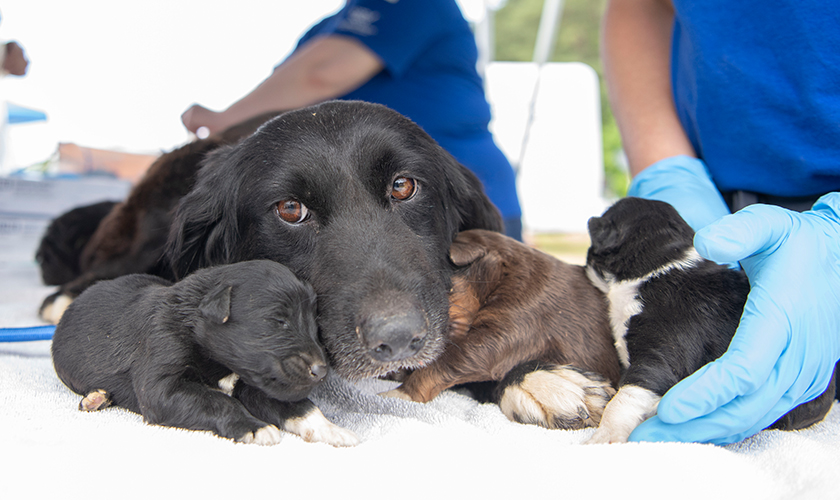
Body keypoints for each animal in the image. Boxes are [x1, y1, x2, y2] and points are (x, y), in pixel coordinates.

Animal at [49, 260, 358, 448]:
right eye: (277, 321)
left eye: (314, 323)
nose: (322, 370)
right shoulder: (163, 376)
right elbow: (217, 400)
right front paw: (253, 426)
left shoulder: (255, 382)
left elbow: (299, 406)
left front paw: (331, 428)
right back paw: (95, 397)